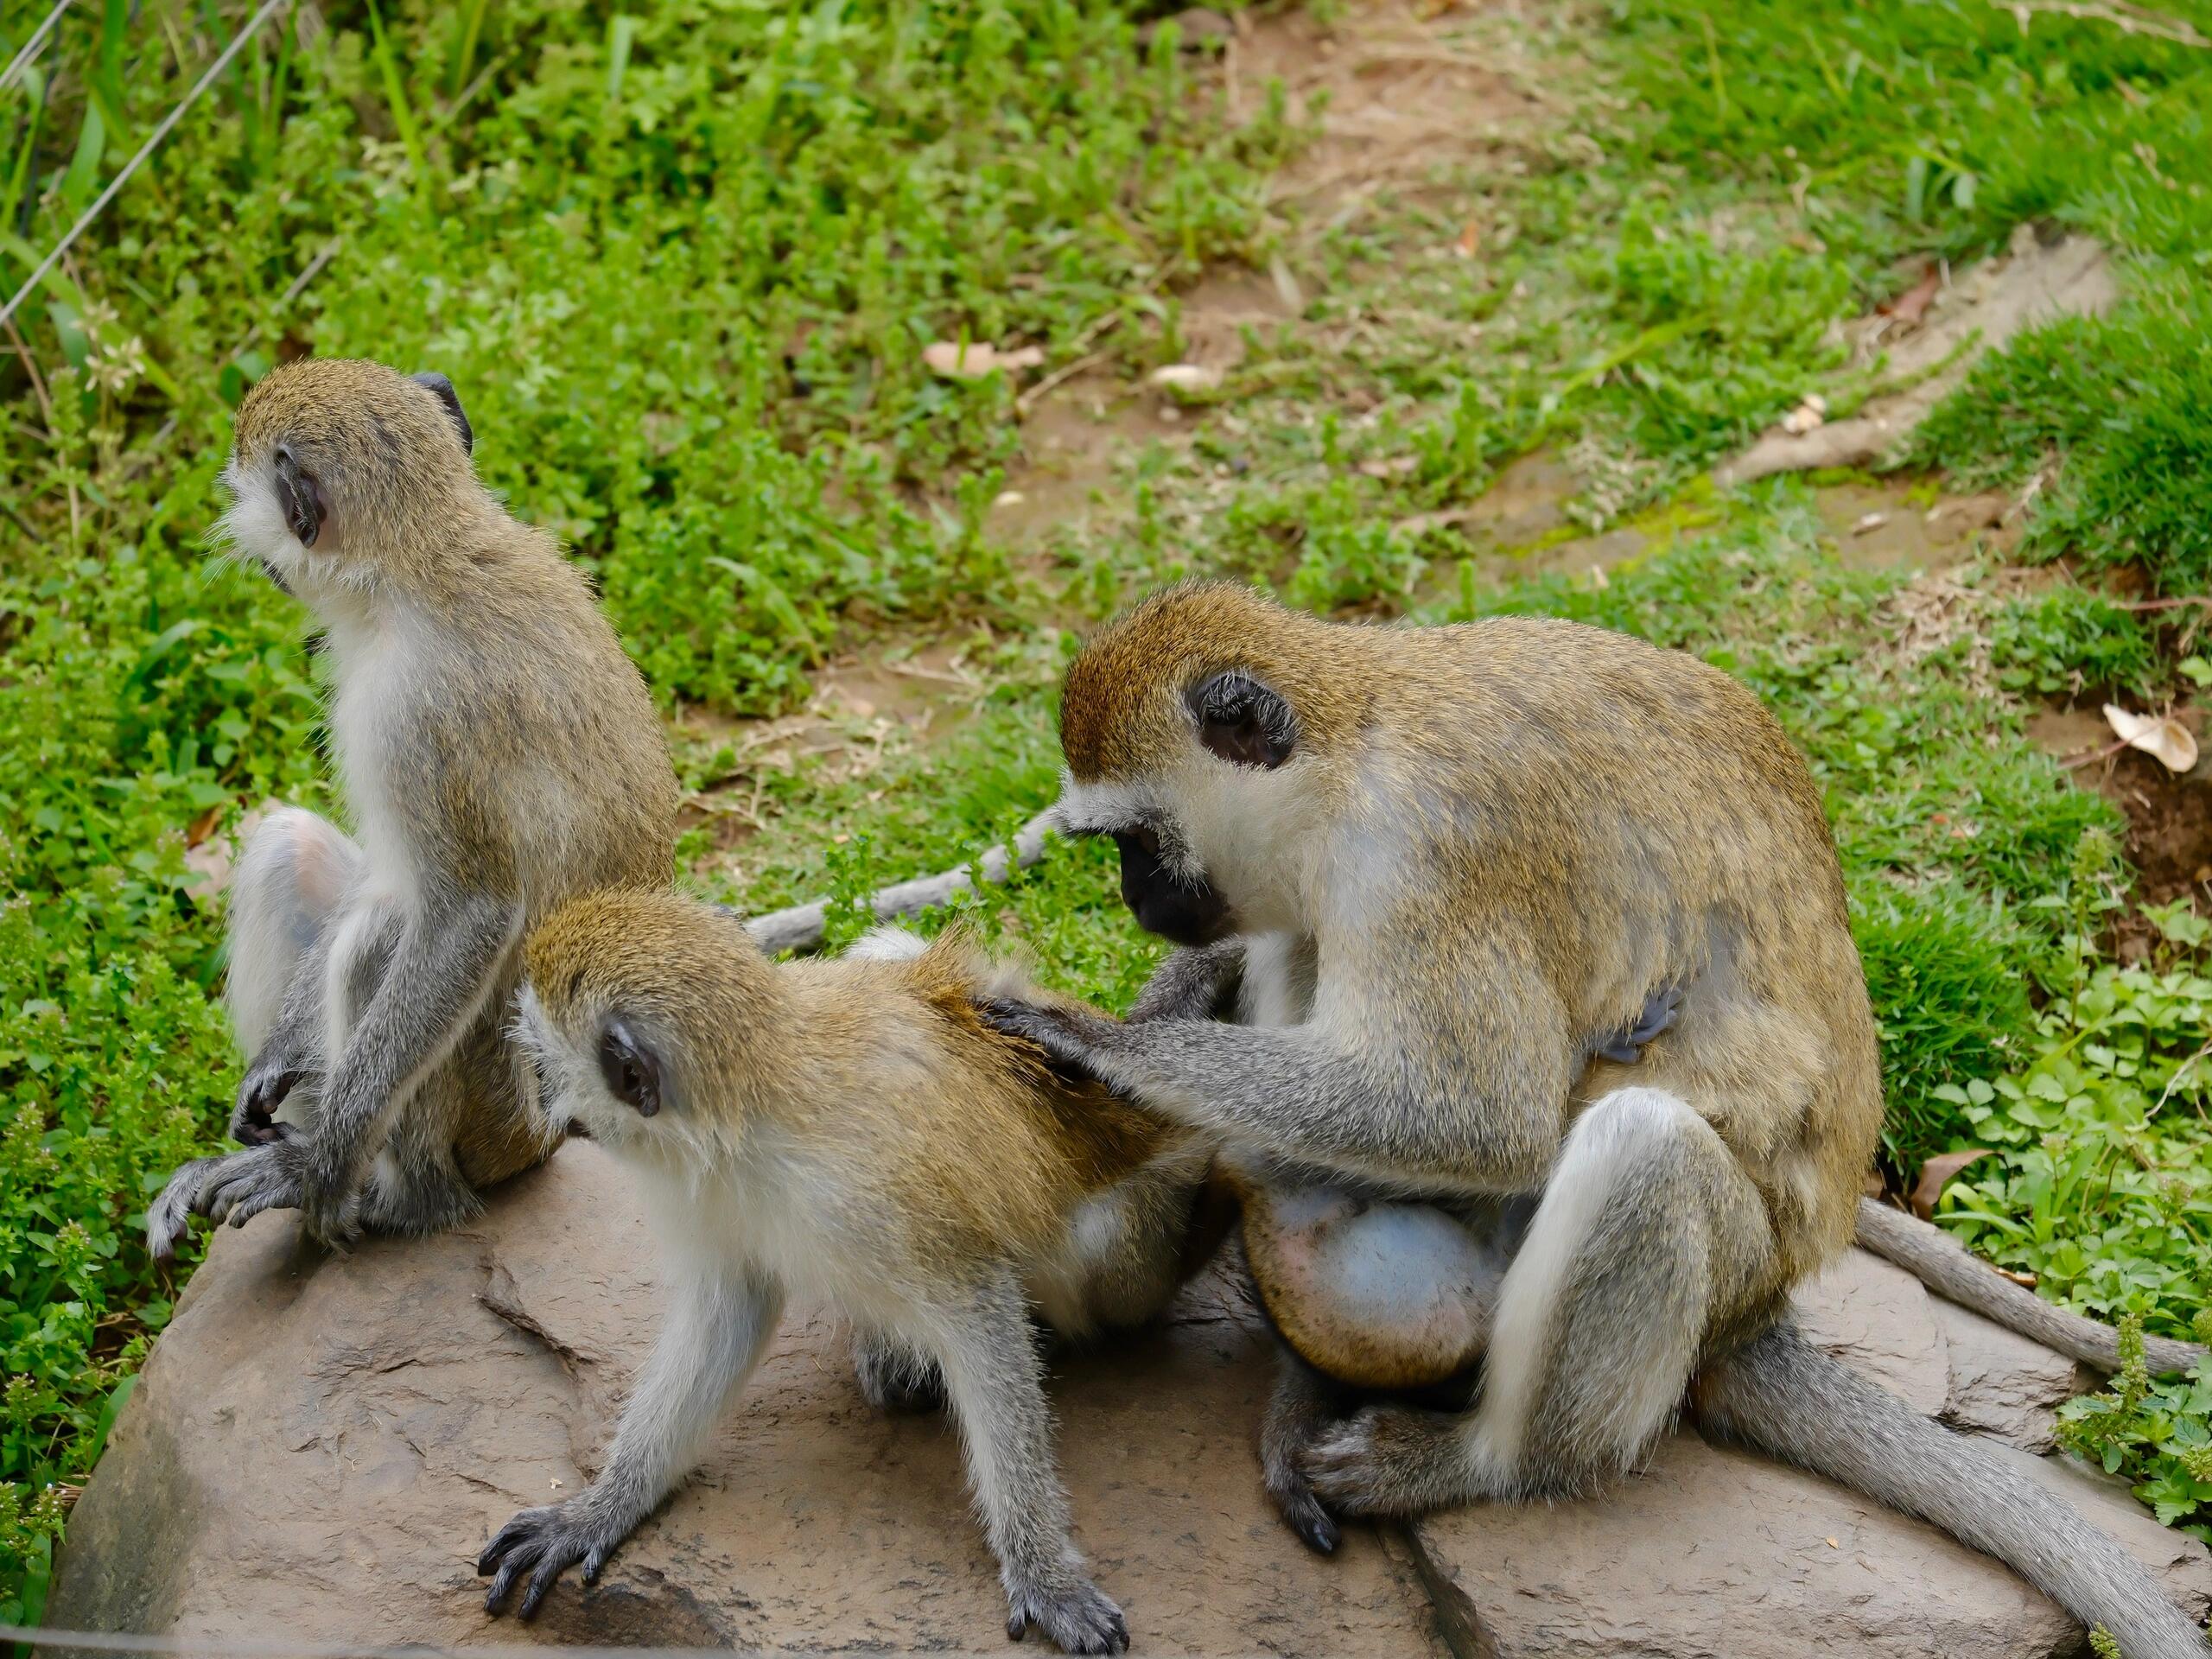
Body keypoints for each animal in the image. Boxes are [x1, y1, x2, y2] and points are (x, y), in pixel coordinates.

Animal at [147, 358, 672, 1256]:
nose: (266, 562)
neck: (423, 564)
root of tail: (555, 1130)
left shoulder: (419, 712)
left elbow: (467, 914)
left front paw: (316, 1170)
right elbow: (383, 871)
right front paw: (277, 1063)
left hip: (499, 1122)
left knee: (384, 937)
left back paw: (392, 1195)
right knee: (294, 851)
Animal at [477, 902, 1230, 1654]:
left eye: (540, 1060)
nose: (537, 1098)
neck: (752, 1108)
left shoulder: (871, 1194)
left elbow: (980, 1318)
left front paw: (1043, 1573)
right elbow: (732, 1313)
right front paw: (600, 1508)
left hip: (1148, 1244)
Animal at [986, 583, 2212, 1659]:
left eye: (1133, 839)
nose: (1136, 902)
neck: (1352, 746)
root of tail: (1761, 1307)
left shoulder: (1430, 856)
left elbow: (1480, 1114)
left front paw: (1101, 1043)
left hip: (1720, 1261)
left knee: (1643, 1151)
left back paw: (1480, 1462)